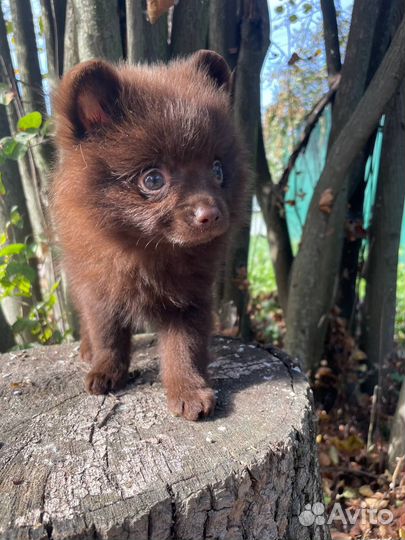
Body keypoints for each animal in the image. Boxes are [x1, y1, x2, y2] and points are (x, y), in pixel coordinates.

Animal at [52, 50, 248, 422]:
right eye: (153, 179)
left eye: (217, 170)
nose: (211, 213)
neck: (149, 251)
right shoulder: (99, 287)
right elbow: (108, 333)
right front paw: (106, 370)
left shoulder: (190, 297)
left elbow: (184, 346)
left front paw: (188, 390)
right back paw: (86, 350)